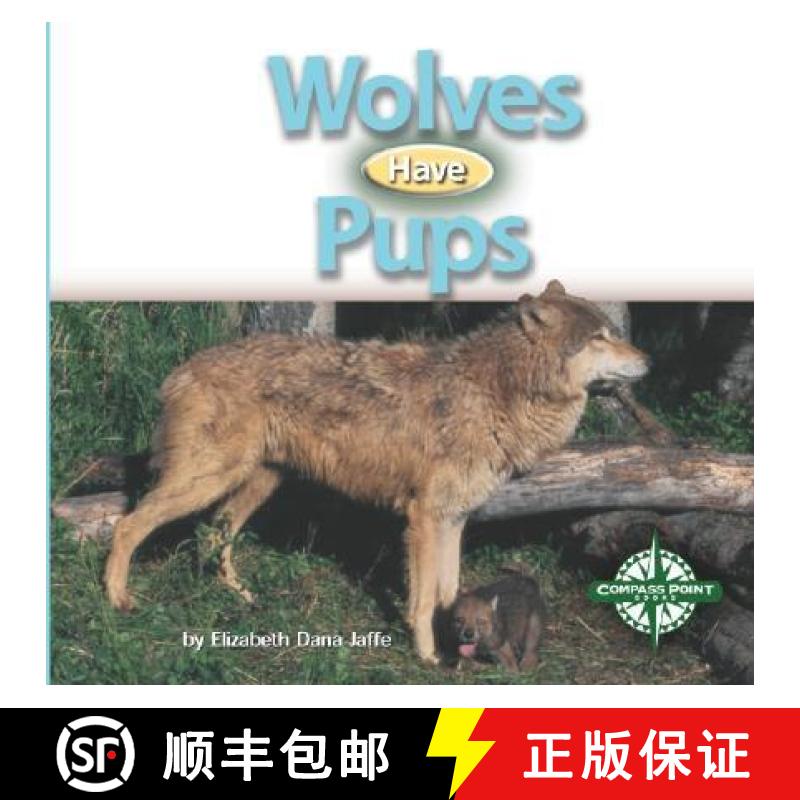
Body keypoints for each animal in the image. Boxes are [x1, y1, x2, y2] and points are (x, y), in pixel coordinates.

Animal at [104, 280, 649, 663]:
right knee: (129, 525)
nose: (649, 360)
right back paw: (118, 600)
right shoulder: (424, 518)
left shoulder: (454, 519)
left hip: (256, 483)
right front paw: (428, 656)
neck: (496, 392)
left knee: (214, 536)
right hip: (210, 479)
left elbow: (449, 590)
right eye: (600, 338)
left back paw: (241, 599)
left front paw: (461, 644)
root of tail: (182, 369)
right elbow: (424, 600)